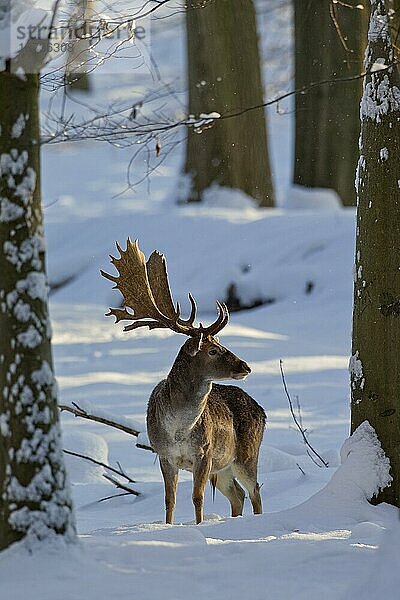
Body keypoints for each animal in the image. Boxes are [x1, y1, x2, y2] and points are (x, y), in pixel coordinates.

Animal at [101, 239, 268, 524]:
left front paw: (198, 525)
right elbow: (170, 500)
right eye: (213, 350)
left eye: (220, 344)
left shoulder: (204, 453)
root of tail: (263, 411)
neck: (179, 430)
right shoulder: (164, 455)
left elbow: (197, 497)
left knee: (255, 490)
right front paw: (169, 526)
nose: (245, 366)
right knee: (238, 494)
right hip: (224, 467)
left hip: (246, 454)